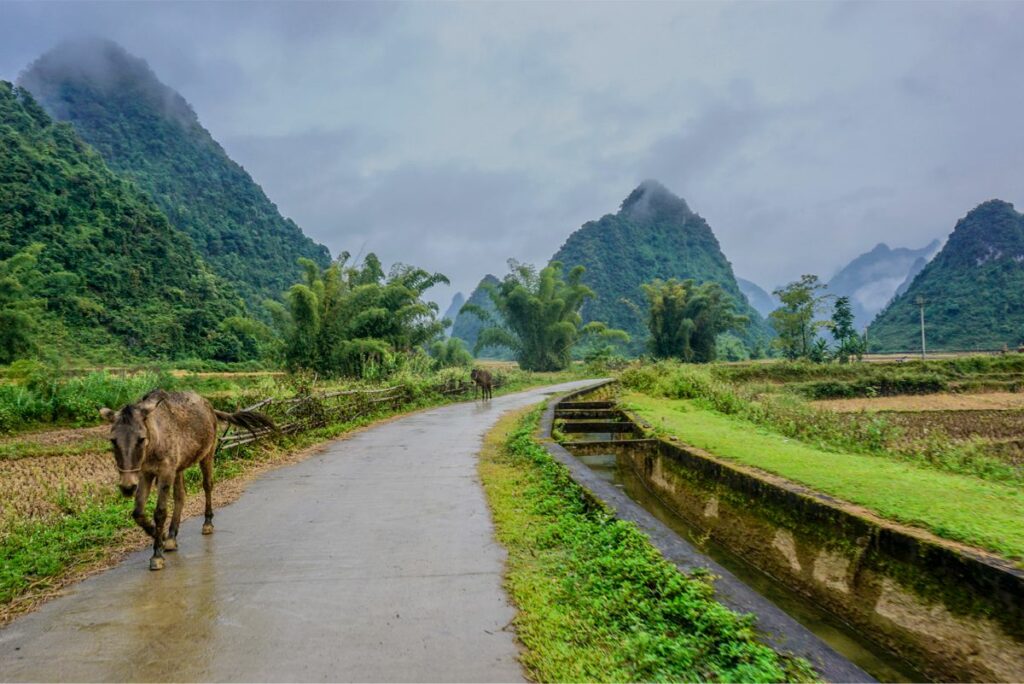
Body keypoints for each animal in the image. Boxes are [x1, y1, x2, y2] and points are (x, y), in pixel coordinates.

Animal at [100, 389, 276, 573]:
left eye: (141, 439)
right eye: (113, 440)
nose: (126, 487)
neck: (155, 440)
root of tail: (209, 406)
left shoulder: (166, 473)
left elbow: (160, 512)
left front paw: (157, 554)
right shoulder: (145, 474)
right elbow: (138, 512)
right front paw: (161, 536)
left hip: (207, 455)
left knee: (207, 486)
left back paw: (207, 523)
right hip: (180, 469)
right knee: (180, 496)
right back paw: (171, 536)